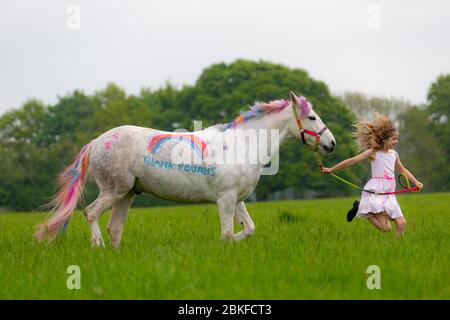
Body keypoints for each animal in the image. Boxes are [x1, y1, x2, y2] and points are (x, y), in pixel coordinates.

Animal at [37, 92, 336, 248]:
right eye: (312, 116)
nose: (331, 144)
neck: (242, 144)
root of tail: (96, 142)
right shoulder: (225, 199)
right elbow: (227, 233)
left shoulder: (237, 199)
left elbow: (248, 229)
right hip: (114, 191)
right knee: (91, 214)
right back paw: (97, 246)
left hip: (127, 195)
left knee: (115, 228)